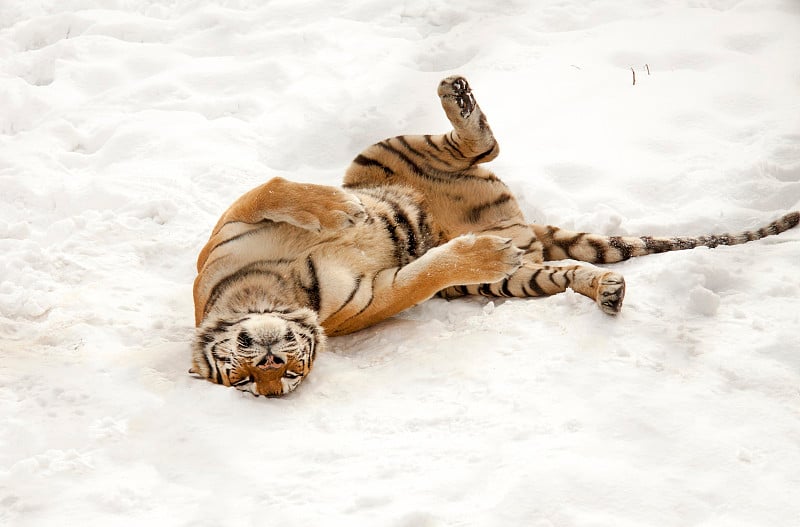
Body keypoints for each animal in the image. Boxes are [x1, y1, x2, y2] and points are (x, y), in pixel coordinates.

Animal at [191, 74, 796, 396]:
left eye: (287, 370)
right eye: (249, 383)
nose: (274, 368)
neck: (274, 292)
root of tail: (526, 227)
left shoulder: (227, 229)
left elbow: (275, 188)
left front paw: (341, 212)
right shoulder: (380, 296)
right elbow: (425, 273)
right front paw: (477, 253)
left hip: (384, 150)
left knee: (479, 143)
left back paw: (454, 96)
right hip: (521, 279)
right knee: (565, 269)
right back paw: (604, 290)